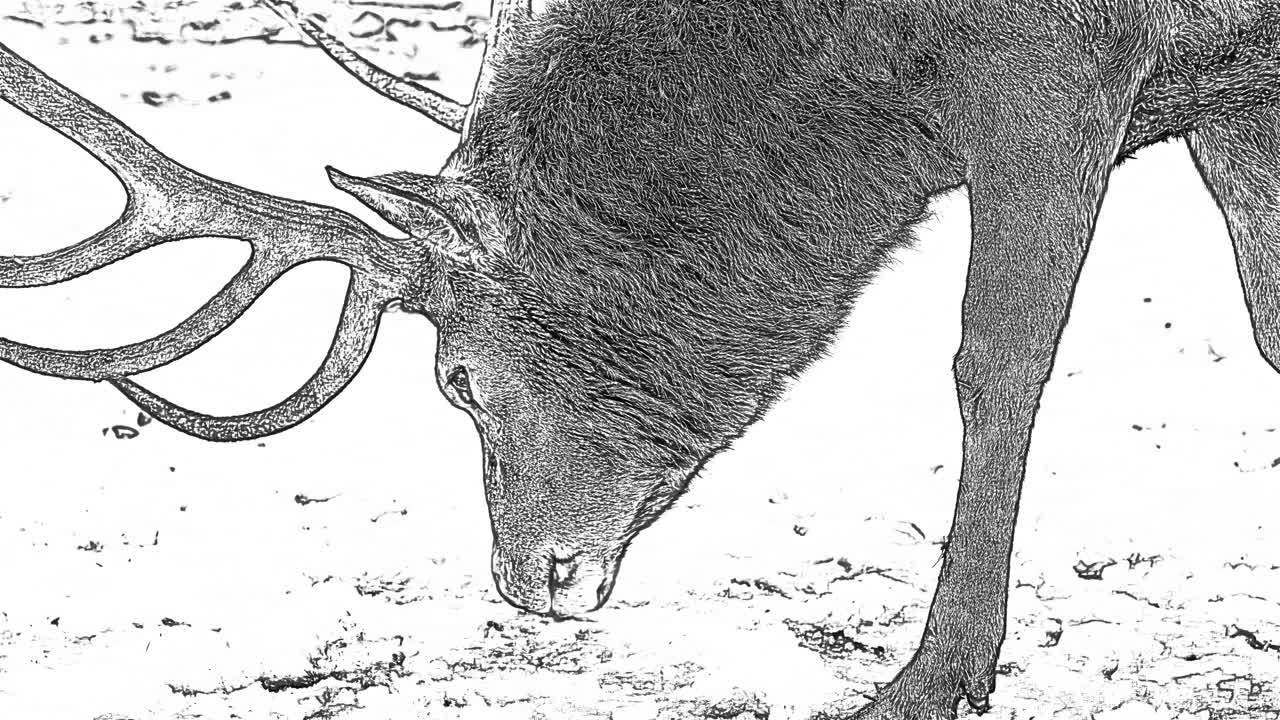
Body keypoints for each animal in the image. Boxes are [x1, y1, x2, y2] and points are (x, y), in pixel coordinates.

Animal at [2, 0, 1279, 717]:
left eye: (458, 381)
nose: (531, 580)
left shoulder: (1052, 73)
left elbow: (994, 364)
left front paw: (932, 676)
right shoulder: (1228, 87)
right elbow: (1266, 322)